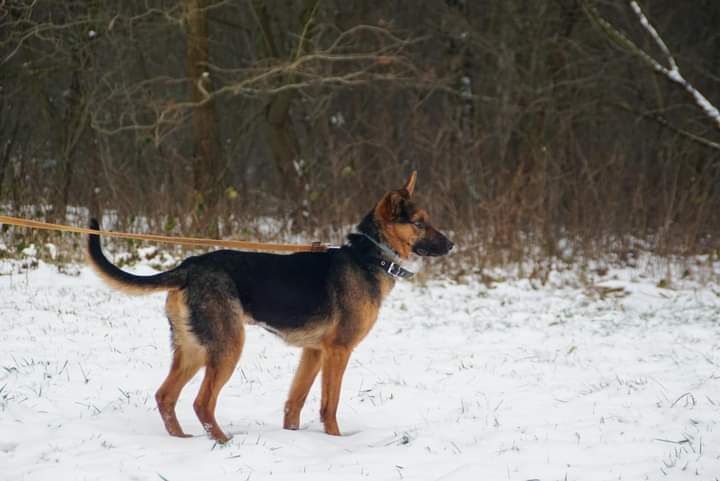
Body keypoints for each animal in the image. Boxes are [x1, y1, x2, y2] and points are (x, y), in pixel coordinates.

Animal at [87, 172, 452, 442]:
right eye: (419, 223)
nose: (451, 245)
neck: (369, 257)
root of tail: (188, 267)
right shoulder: (338, 351)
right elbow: (329, 406)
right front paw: (336, 442)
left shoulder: (313, 353)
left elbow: (294, 404)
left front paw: (294, 437)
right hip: (227, 347)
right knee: (202, 403)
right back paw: (223, 442)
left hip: (193, 349)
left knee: (165, 397)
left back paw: (182, 440)